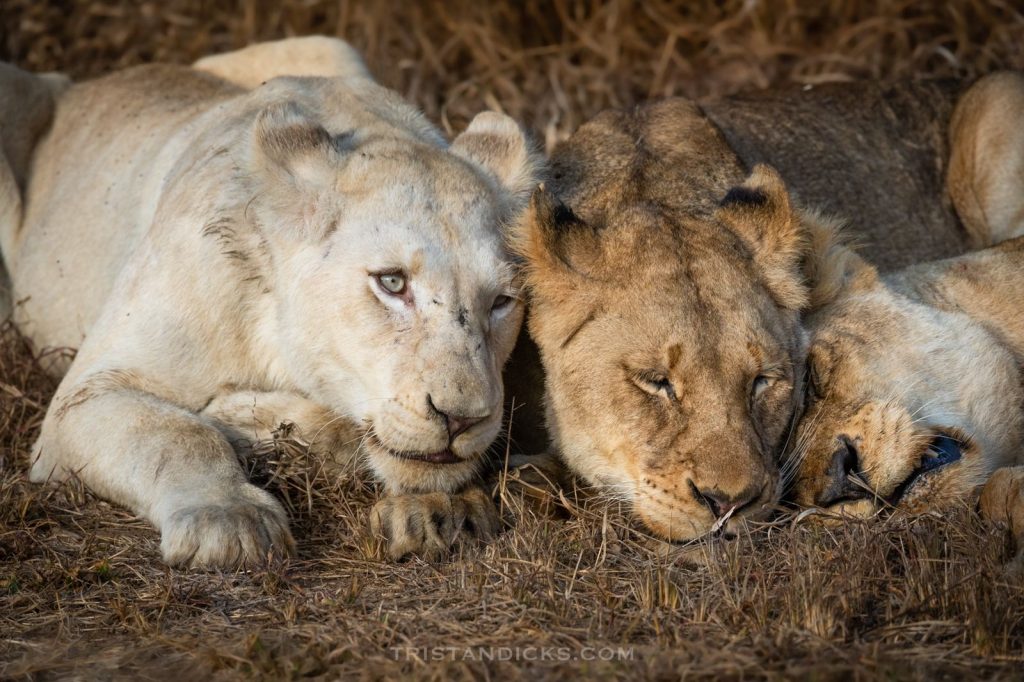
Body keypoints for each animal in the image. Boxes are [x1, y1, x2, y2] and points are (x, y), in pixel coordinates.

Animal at [0, 38, 541, 568]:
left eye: (501, 301)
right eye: (392, 282)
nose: (463, 419)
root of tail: (80, 84)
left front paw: (438, 512)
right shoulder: (80, 398)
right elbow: (176, 433)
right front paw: (230, 523)